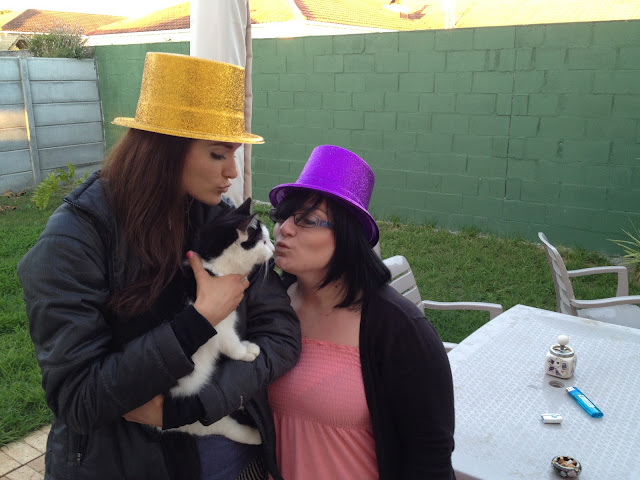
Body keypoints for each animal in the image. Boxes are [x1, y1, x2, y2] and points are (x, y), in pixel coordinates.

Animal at [162, 198, 274, 445]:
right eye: (263, 241)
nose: (274, 249)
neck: (213, 267)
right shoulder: (216, 319)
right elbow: (230, 342)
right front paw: (244, 352)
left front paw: (246, 346)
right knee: (216, 426)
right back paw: (251, 435)